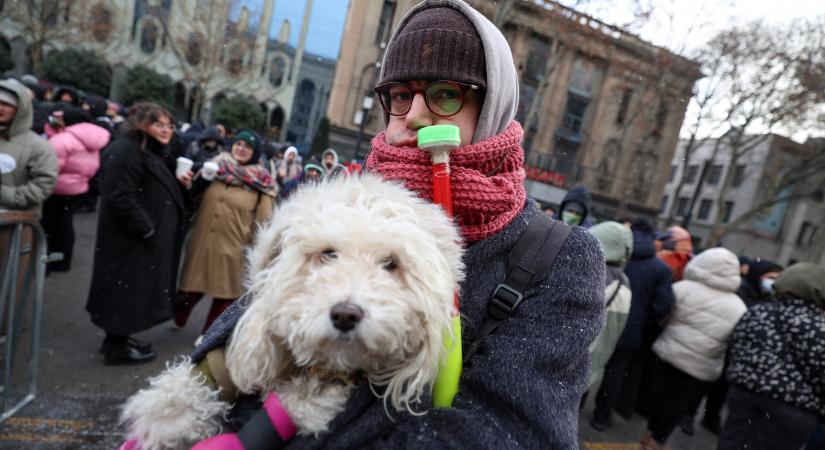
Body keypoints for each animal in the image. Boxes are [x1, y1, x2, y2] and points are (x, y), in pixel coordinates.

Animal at [119, 175, 464, 450]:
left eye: (391, 263)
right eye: (328, 253)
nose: (345, 315)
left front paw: (309, 399)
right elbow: (183, 393)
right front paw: (164, 420)